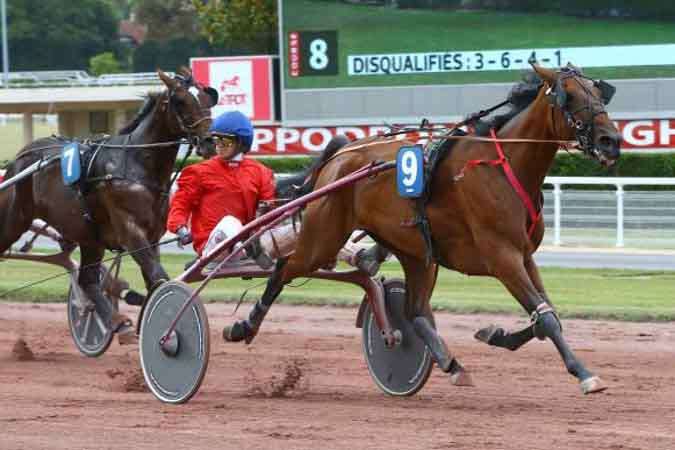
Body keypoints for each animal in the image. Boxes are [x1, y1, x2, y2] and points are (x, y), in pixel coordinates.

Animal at [0, 67, 217, 337]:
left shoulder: (152, 236)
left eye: (207, 97)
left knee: (87, 280)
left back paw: (116, 320)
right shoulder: (131, 232)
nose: (209, 141)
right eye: (180, 100)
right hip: (14, 220)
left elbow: (153, 280)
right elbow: (159, 277)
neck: (136, 165)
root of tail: (20, 158)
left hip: (89, 236)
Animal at [221, 63, 622, 394]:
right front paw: (585, 374)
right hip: (324, 237)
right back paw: (244, 326)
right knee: (283, 269)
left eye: (599, 91)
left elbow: (546, 314)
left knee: (413, 310)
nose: (610, 141)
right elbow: (547, 318)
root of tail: (341, 154)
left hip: (416, 252)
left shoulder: (523, 256)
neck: (504, 166)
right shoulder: (502, 257)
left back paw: (450, 362)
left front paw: (495, 333)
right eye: (569, 96)